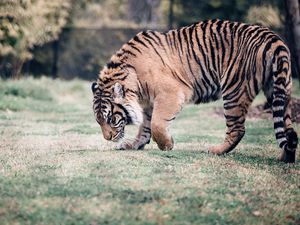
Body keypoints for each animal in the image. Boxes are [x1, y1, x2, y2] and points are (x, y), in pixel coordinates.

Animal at [91, 19, 298, 163]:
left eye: (111, 119)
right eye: (98, 120)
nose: (107, 138)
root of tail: (272, 38)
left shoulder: (170, 94)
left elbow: (157, 124)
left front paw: (167, 145)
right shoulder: (148, 102)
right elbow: (145, 126)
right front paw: (134, 145)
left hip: (234, 90)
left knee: (237, 129)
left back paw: (215, 150)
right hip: (279, 89)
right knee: (287, 127)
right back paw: (285, 157)